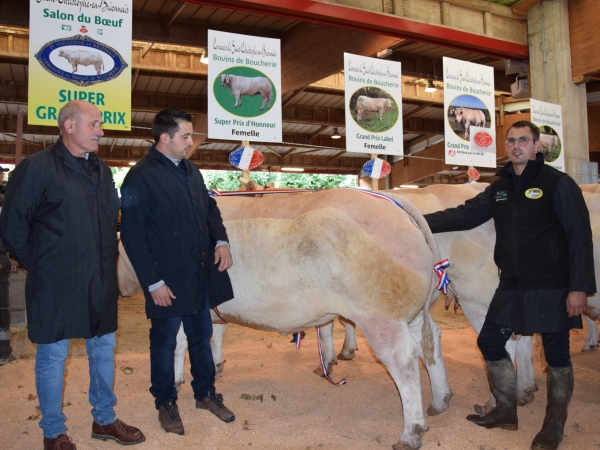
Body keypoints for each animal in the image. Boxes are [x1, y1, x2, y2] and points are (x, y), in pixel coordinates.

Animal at [119, 190, 452, 450]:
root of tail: (392, 201)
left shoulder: (183, 304)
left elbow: (178, 343)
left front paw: (177, 378)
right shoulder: (211, 307)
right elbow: (213, 334)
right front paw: (215, 364)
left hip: (378, 314)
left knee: (403, 359)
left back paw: (411, 432)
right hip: (411, 312)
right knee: (431, 341)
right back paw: (440, 399)